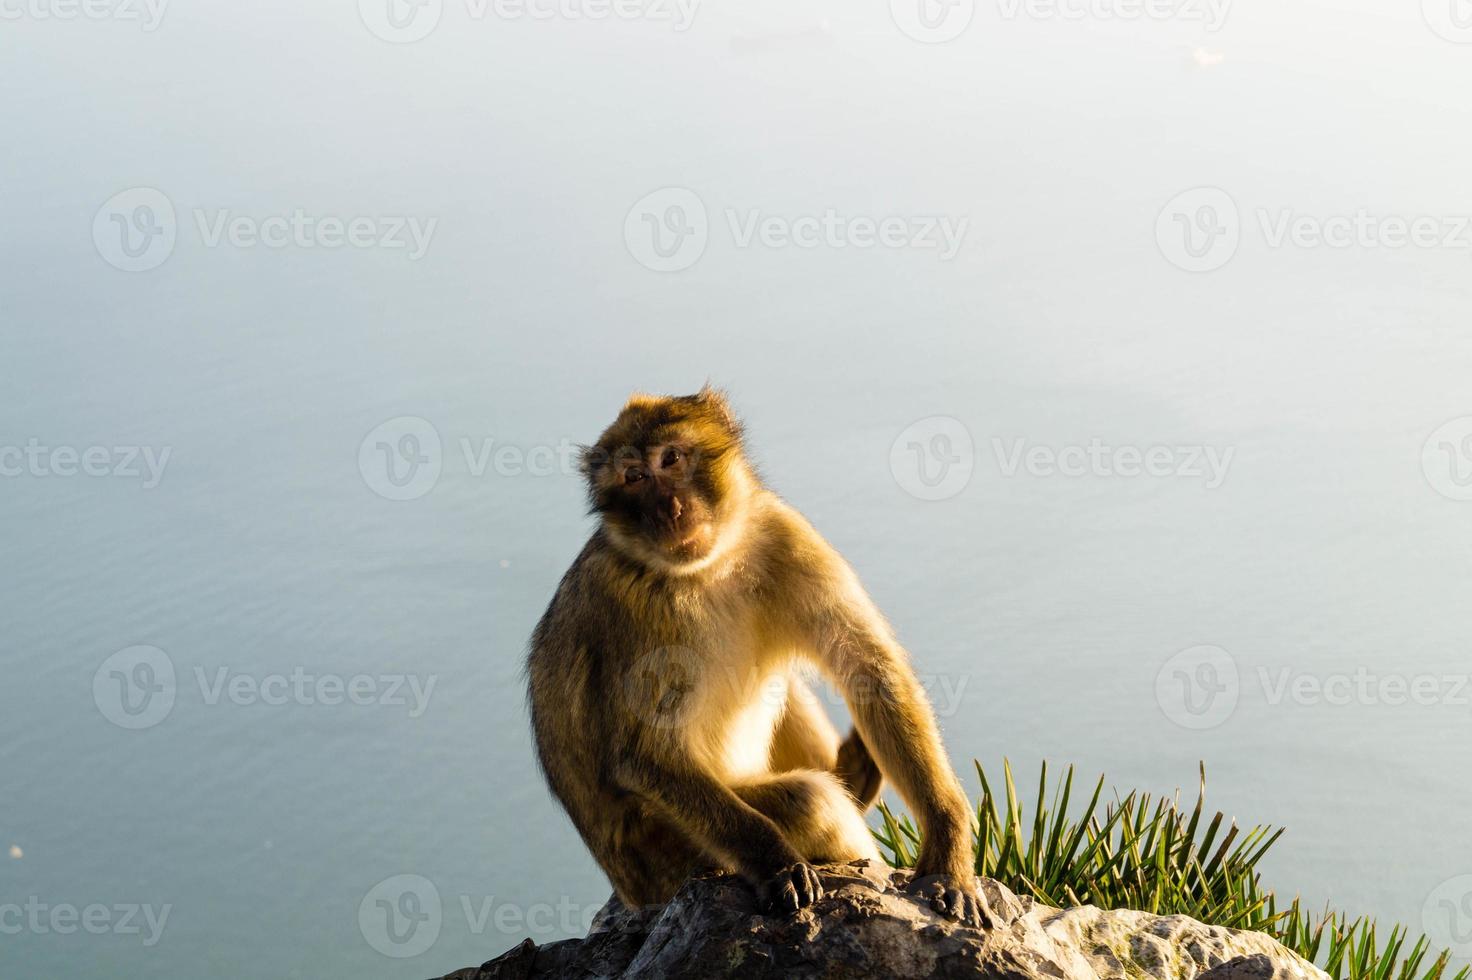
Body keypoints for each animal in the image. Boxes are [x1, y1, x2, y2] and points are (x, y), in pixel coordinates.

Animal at [529, 382, 989, 924]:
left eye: (671, 459)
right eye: (635, 477)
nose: (669, 510)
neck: (710, 566)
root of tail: (632, 893)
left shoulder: (781, 532)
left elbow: (869, 670)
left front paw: (947, 847)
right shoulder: (628, 608)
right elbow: (645, 755)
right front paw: (775, 862)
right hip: (671, 856)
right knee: (808, 801)